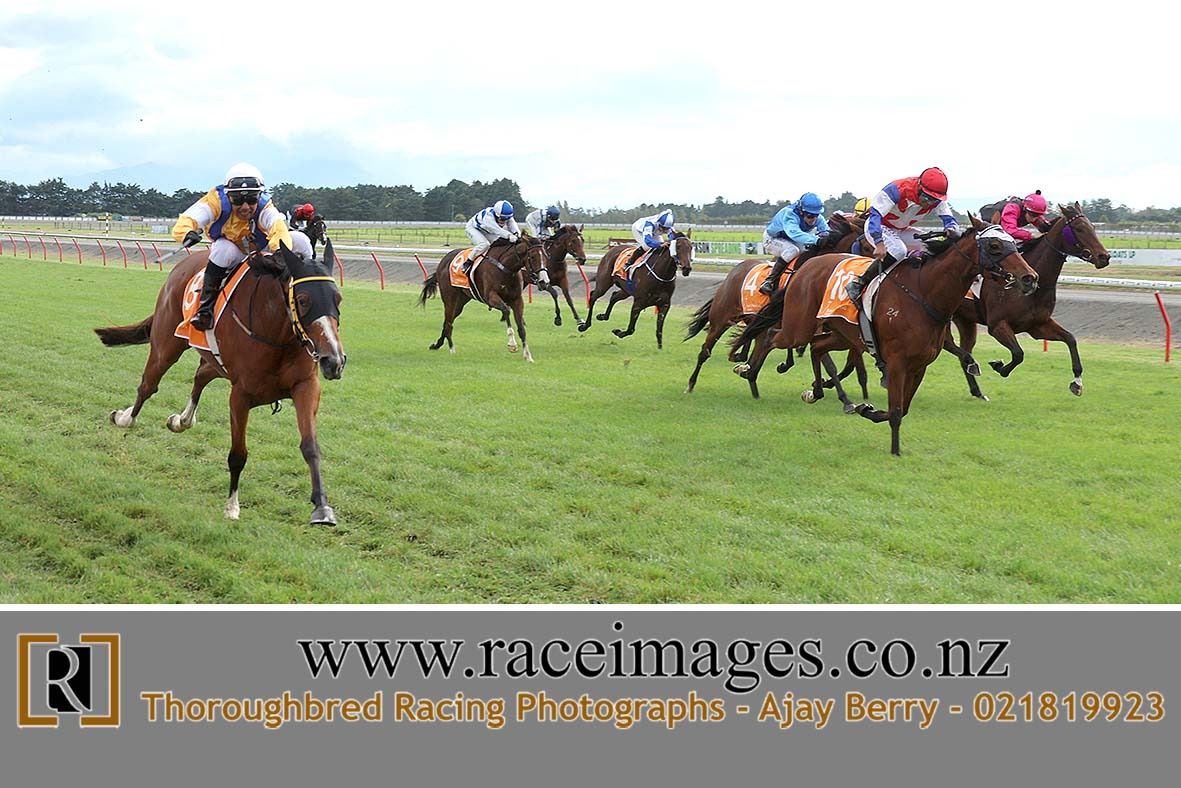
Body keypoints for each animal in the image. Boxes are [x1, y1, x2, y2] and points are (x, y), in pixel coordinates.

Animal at [94, 240, 347, 525]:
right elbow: (238, 454)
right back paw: (125, 418)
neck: (277, 334)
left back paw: (182, 420)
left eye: (337, 299)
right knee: (149, 385)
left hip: (215, 361)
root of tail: (181, 266)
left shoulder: (305, 386)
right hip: (166, 346)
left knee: (201, 375)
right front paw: (232, 505)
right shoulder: (240, 395)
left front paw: (322, 508)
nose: (334, 360)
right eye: (303, 300)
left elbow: (310, 447)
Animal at [418, 235, 547, 361]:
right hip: (449, 298)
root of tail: (443, 261)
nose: (544, 281)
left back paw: (437, 345)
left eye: (546, 256)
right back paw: (452, 349)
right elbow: (506, 310)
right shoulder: (491, 297)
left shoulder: (517, 300)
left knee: (447, 321)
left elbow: (521, 328)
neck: (505, 267)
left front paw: (527, 355)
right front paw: (512, 344)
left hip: (460, 301)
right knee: (449, 323)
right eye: (533, 257)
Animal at [730, 215, 1039, 455]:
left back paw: (814, 391)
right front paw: (895, 449)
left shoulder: (919, 364)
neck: (925, 293)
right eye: (995, 246)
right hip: (799, 326)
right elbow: (896, 410)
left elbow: (900, 409)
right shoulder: (897, 361)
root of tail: (806, 267)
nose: (1030, 278)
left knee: (817, 346)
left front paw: (868, 410)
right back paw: (750, 371)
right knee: (771, 335)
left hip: (842, 335)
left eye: (1013, 243)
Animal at [942, 202, 1111, 399]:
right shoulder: (997, 325)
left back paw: (978, 391)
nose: (1104, 256)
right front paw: (999, 366)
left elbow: (1070, 339)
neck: (1033, 289)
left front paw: (1077, 382)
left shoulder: (1037, 325)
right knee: (949, 344)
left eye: (1093, 227)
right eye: (1079, 228)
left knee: (963, 349)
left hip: (965, 320)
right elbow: (1018, 353)